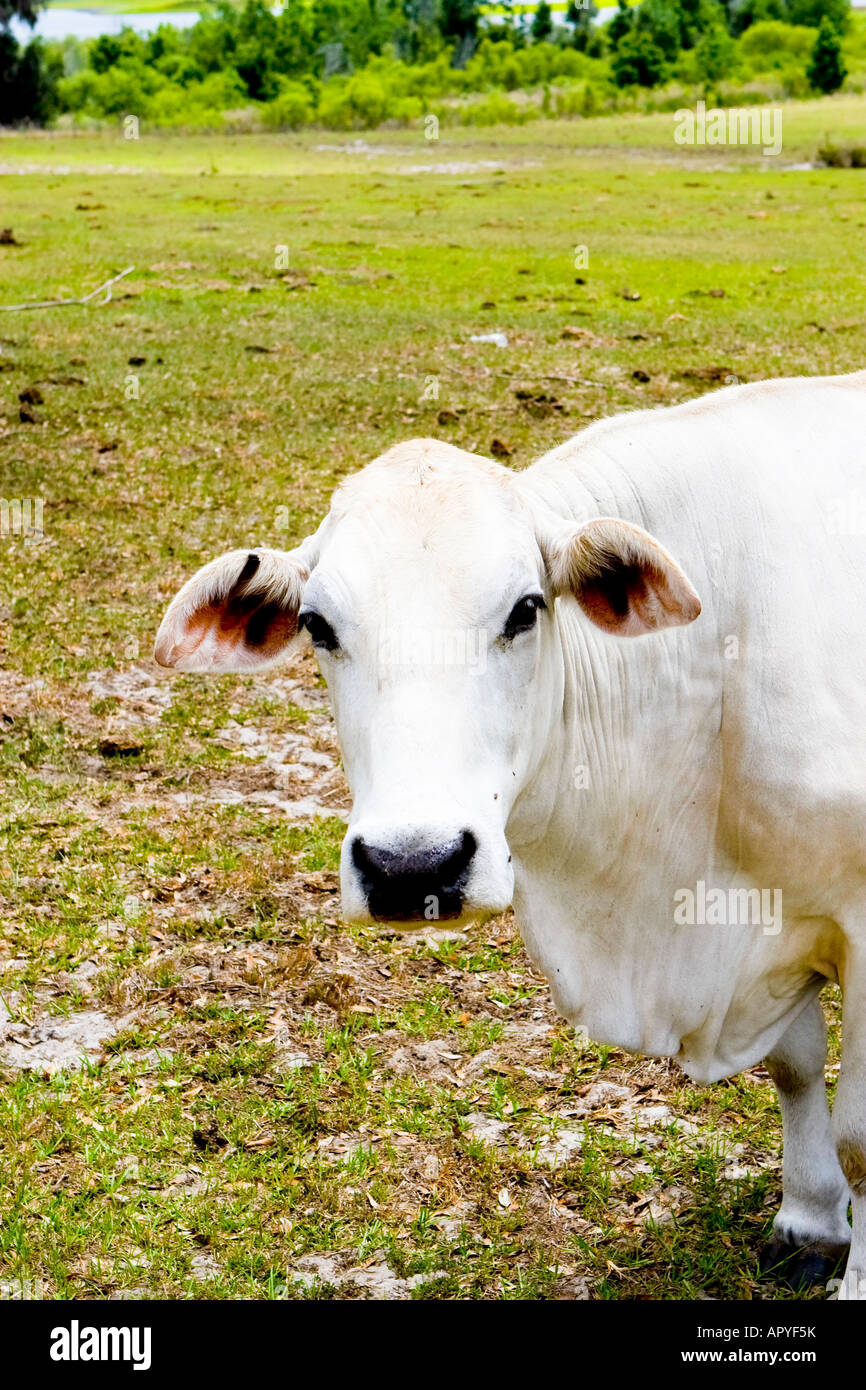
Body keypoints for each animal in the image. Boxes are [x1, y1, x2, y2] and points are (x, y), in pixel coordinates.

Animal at [155, 375, 866, 1295]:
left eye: (526, 609)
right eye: (317, 625)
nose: (412, 866)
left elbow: (862, 1136)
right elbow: (795, 1065)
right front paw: (810, 1220)